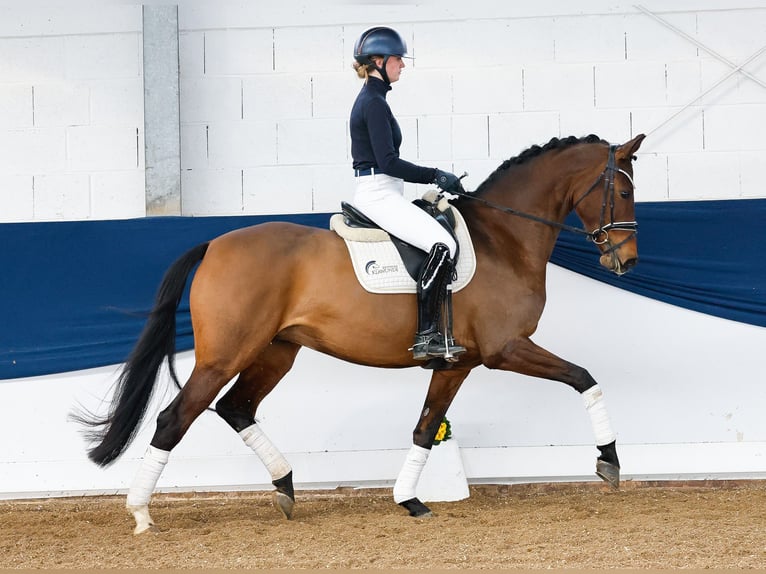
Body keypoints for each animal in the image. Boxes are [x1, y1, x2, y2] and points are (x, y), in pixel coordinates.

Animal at [81, 132, 648, 536]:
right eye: (622, 191)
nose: (625, 261)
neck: (501, 240)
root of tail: (214, 244)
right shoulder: (505, 349)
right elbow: (584, 378)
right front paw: (609, 462)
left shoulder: (458, 362)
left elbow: (425, 427)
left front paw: (410, 500)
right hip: (226, 354)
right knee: (175, 418)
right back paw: (142, 515)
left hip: (276, 352)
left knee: (237, 408)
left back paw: (285, 487)